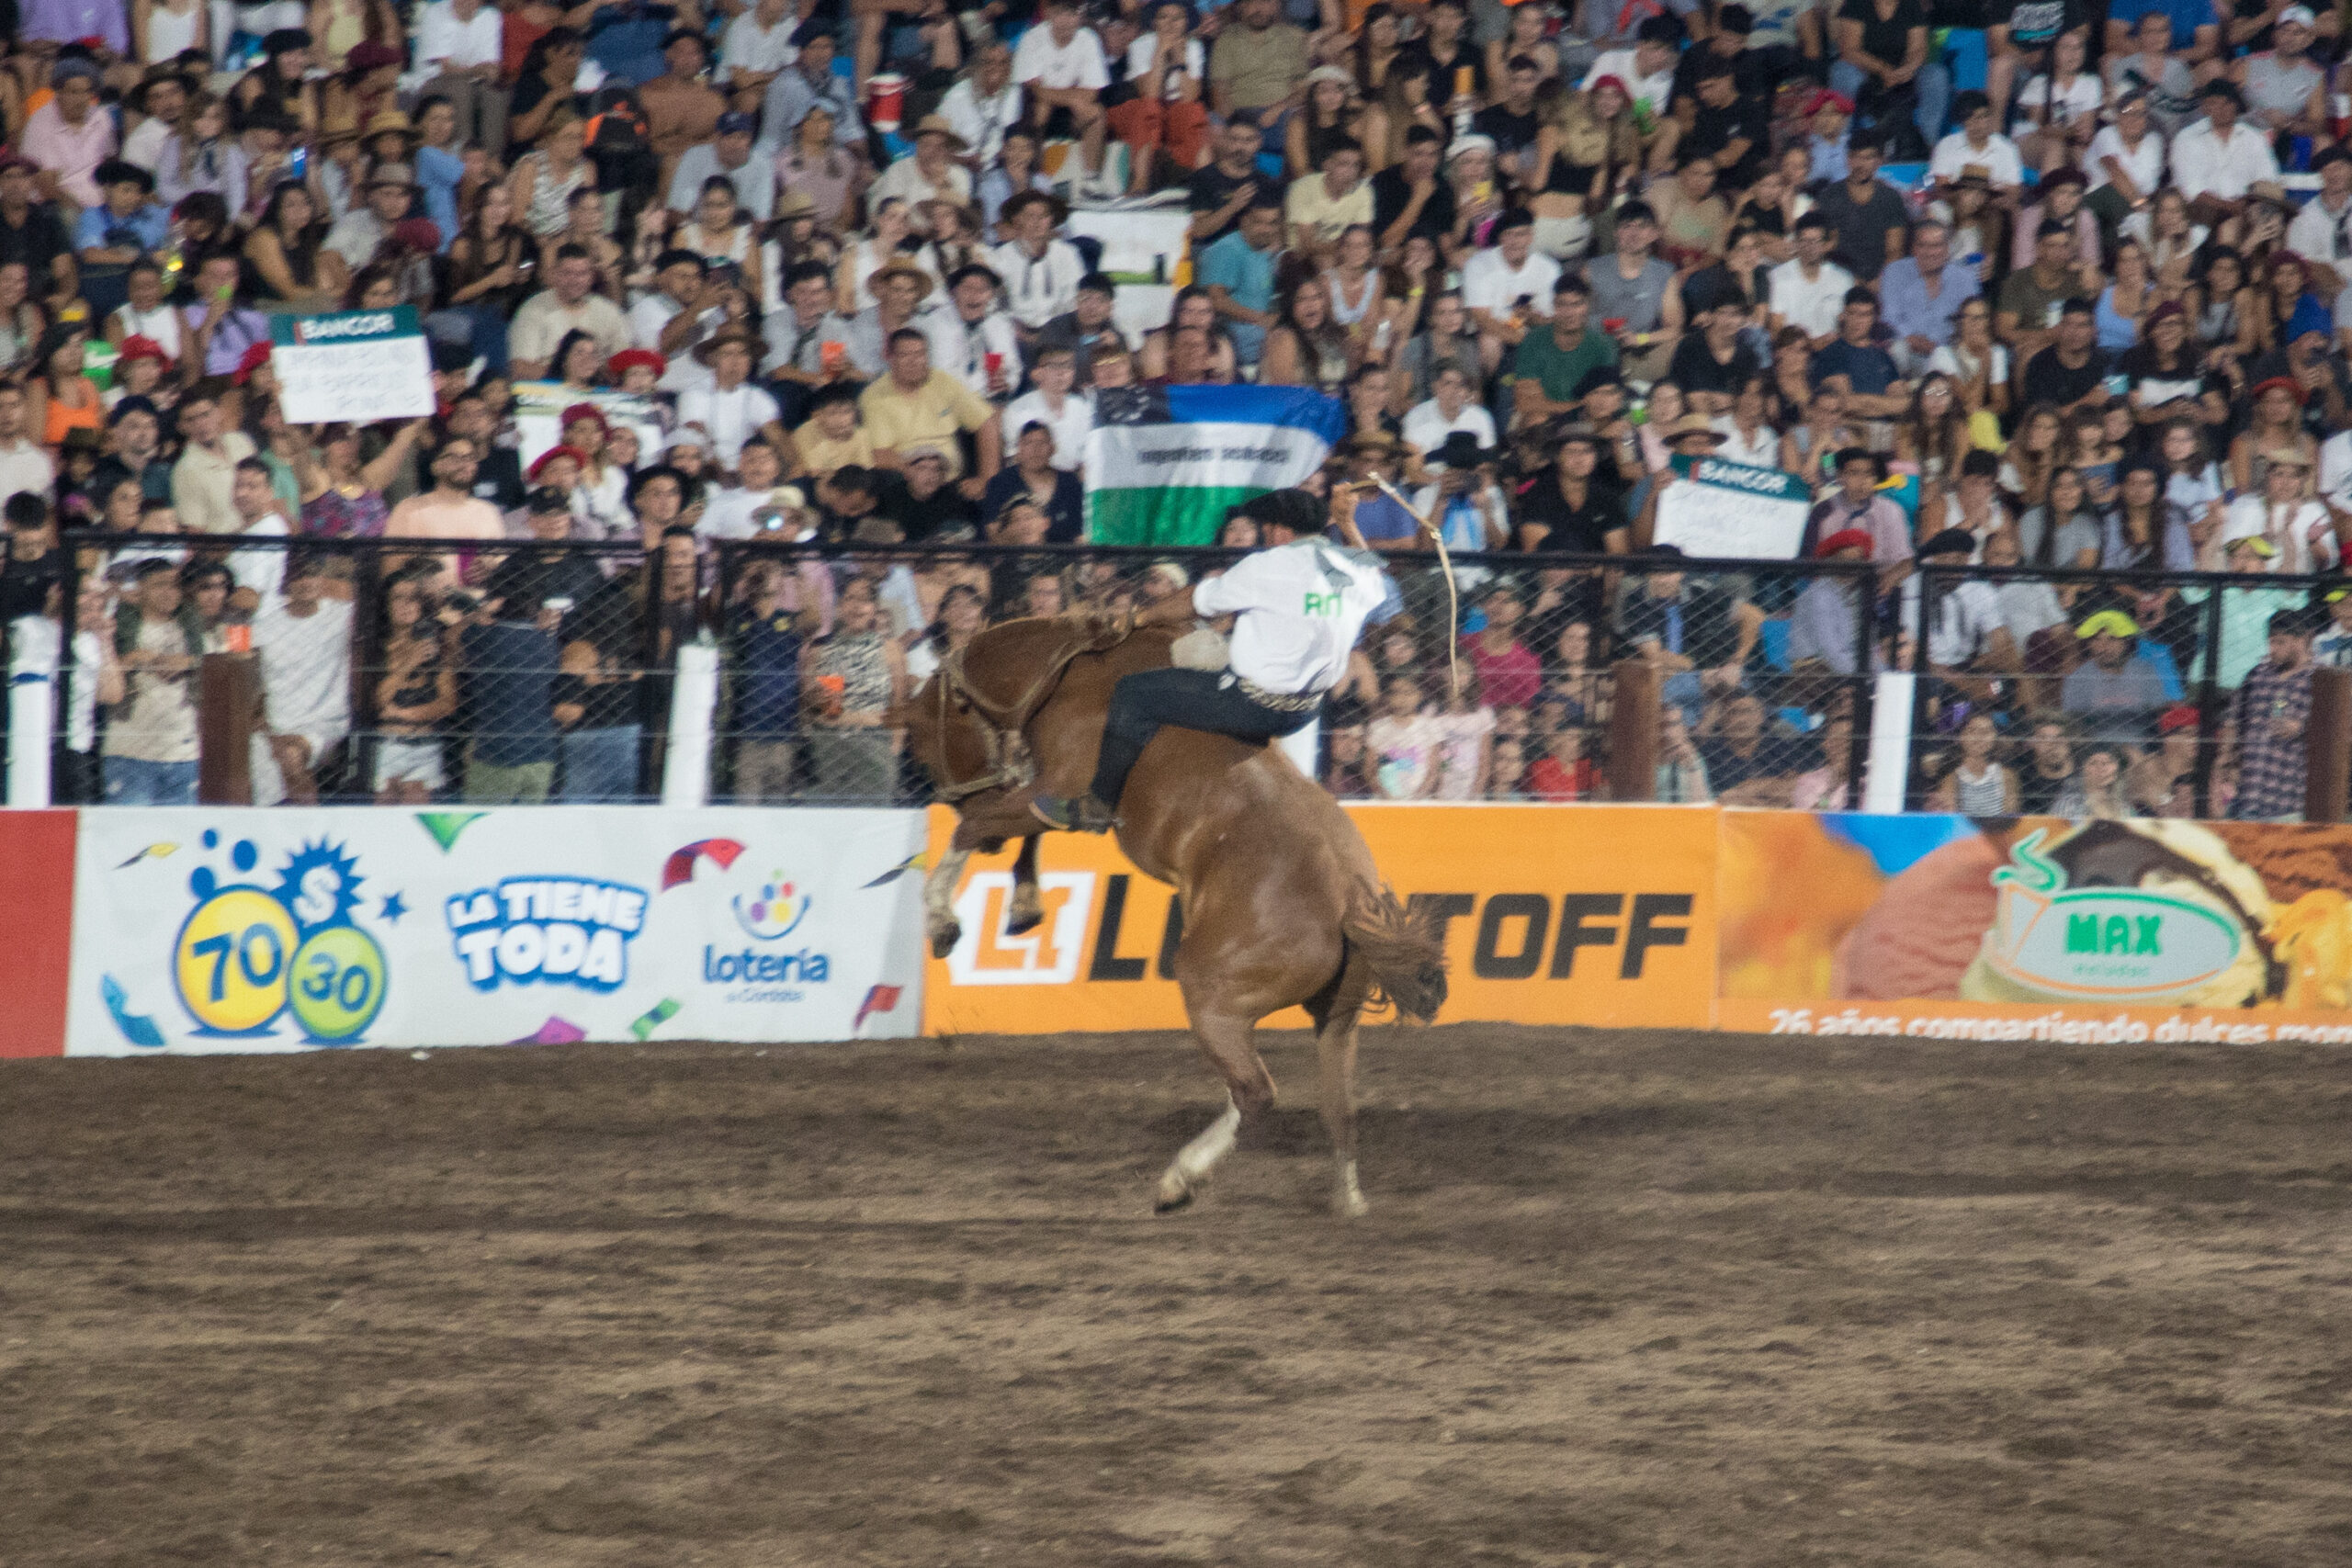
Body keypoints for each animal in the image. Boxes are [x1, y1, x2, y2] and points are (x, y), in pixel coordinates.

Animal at [903, 611, 1439, 1213]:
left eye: (922, 740)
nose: (954, 795)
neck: (1072, 676)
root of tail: (1349, 898)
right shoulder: (1046, 799)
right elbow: (1022, 835)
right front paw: (1021, 903)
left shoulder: (1053, 790)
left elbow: (976, 828)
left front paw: (942, 919)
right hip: (1336, 1018)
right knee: (1333, 1104)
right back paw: (1346, 1196)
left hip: (1210, 987)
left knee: (1254, 1091)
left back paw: (1181, 1178)